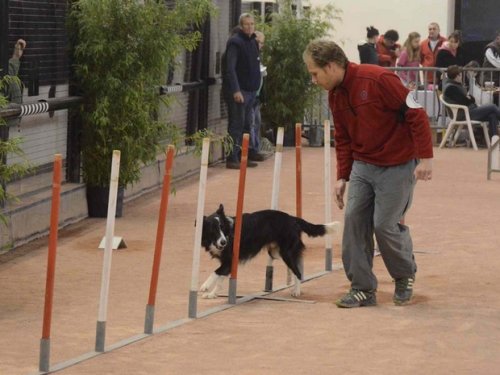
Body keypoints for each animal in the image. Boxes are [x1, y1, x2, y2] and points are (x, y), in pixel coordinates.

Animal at [199, 204, 340, 298]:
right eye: (213, 230)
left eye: (222, 228)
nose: (223, 242)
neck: (230, 232)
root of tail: (292, 218)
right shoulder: (228, 263)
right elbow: (220, 278)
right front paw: (212, 294)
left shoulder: (230, 260)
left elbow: (215, 273)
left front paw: (205, 286)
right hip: (275, 252)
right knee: (295, 266)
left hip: (286, 252)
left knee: (298, 272)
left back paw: (296, 291)